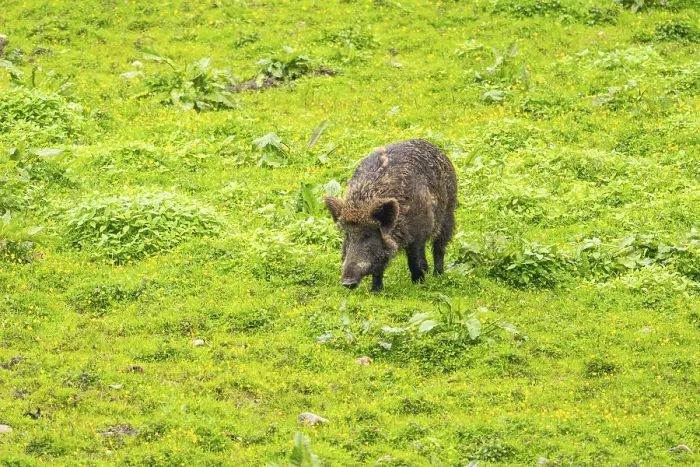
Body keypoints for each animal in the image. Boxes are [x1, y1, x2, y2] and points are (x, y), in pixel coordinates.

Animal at [324, 139, 457, 291]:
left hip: (448, 212)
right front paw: (375, 291)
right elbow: (378, 267)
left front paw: (419, 284)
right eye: (347, 235)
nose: (347, 283)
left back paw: (437, 275)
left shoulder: (419, 234)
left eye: (367, 235)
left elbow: (415, 261)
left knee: (439, 246)